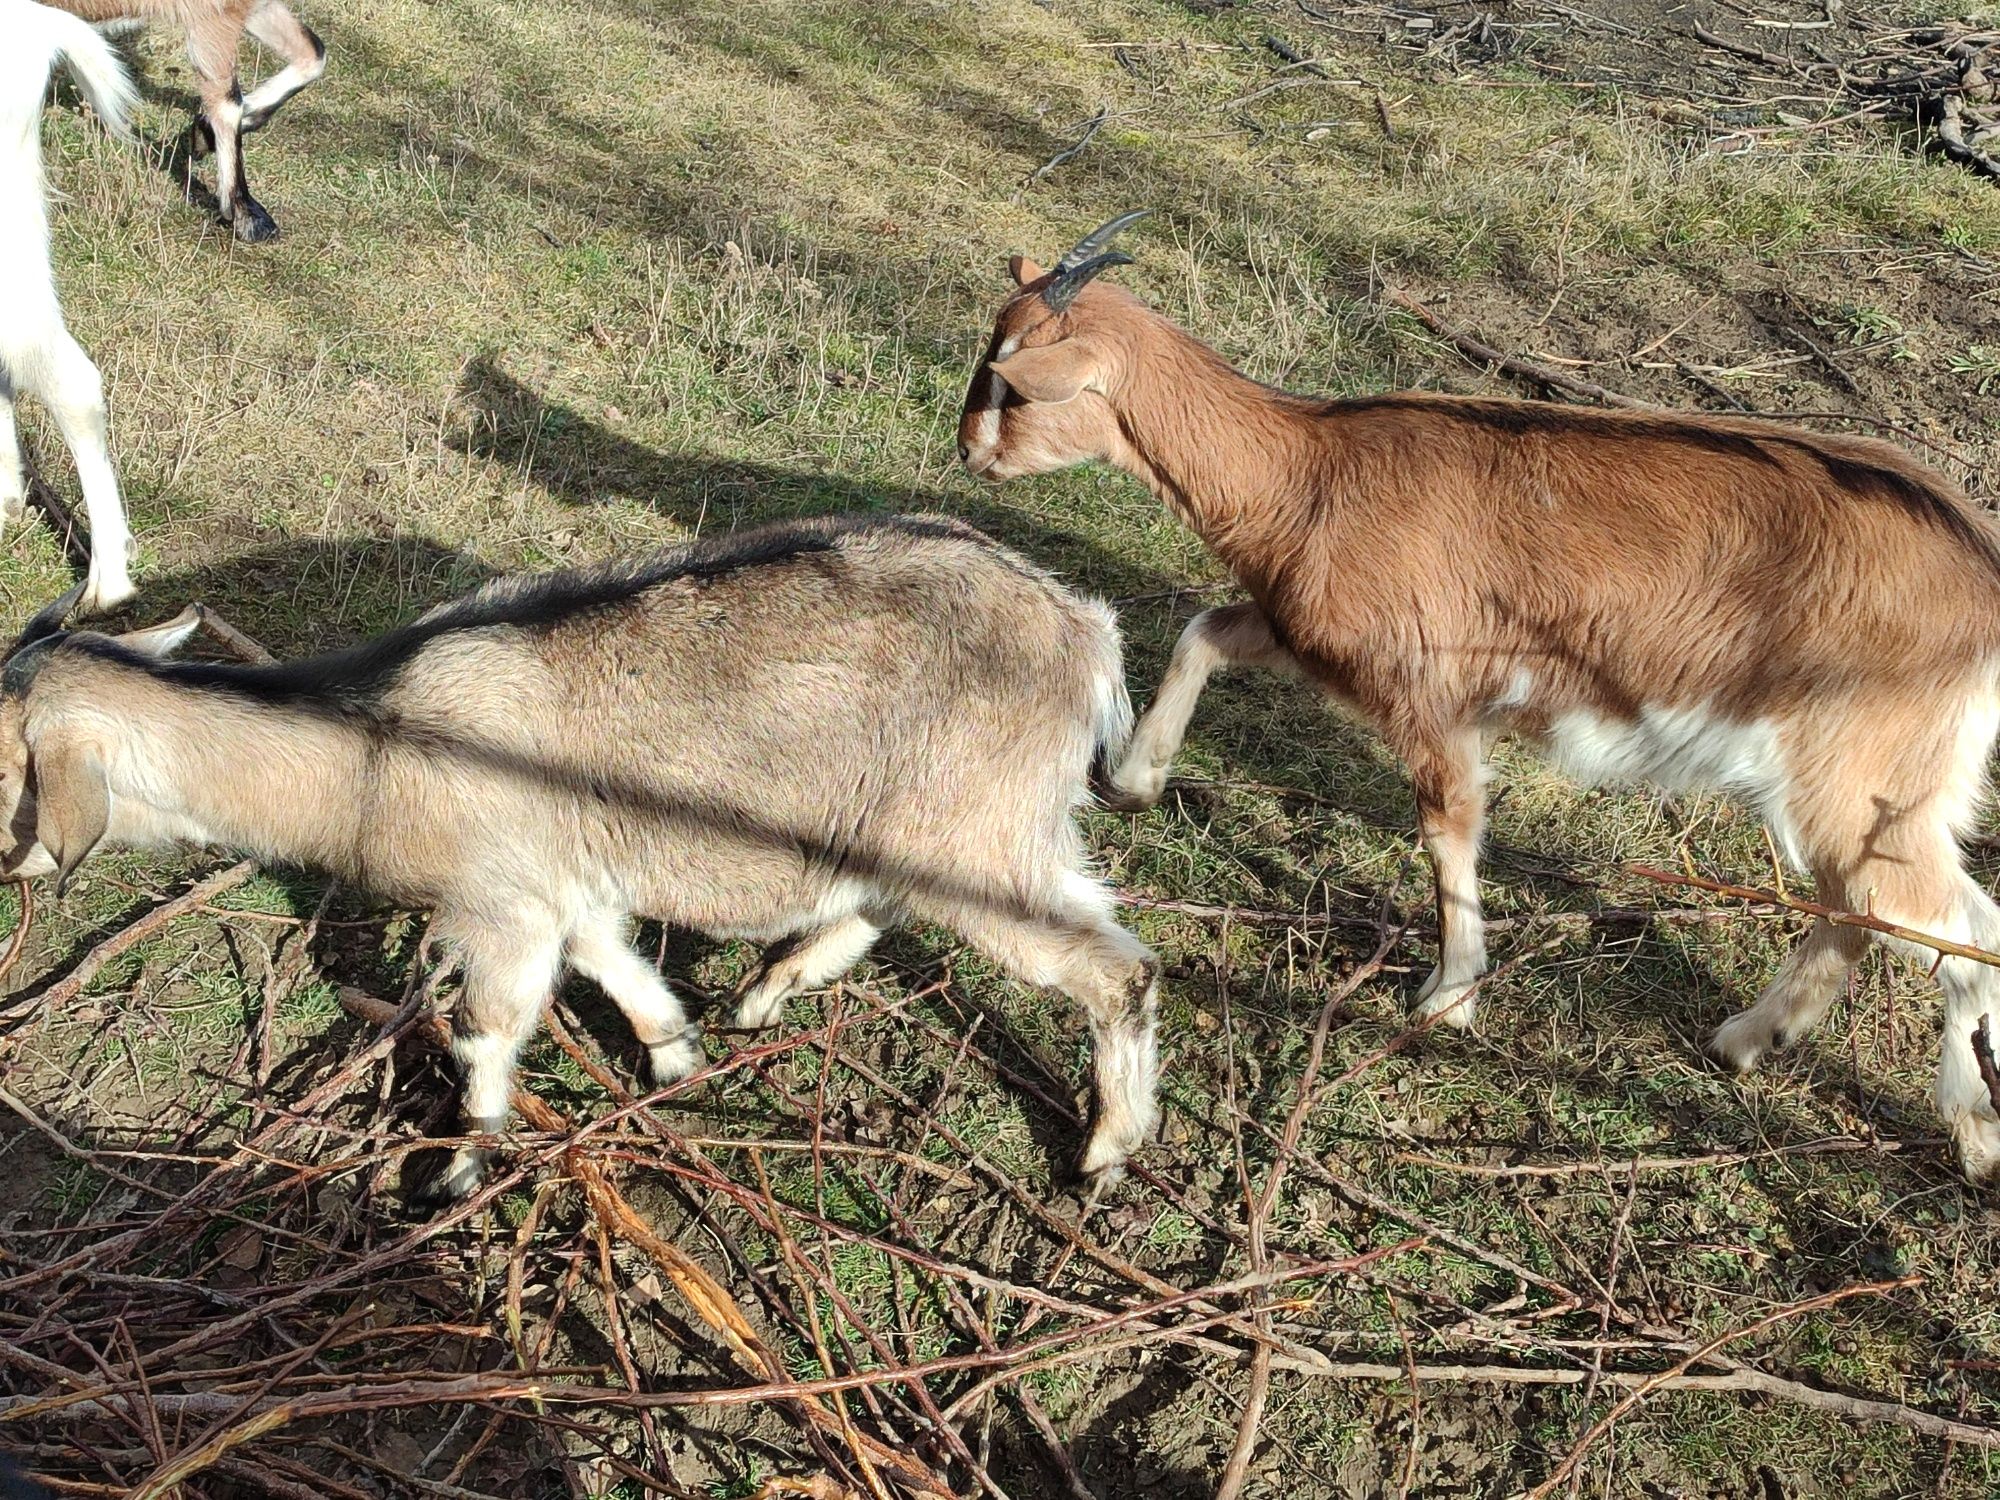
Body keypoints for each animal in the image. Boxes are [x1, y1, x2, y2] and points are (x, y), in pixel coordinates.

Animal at [0, 524, 1168, 1208]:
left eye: (6, 758)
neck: (371, 742)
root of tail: (1089, 636)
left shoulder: (502, 901)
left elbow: (485, 1030)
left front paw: (460, 1168)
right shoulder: (561, 879)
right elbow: (610, 960)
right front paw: (675, 1052)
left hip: (978, 827)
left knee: (1119, 968)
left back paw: (1107, 1153)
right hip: (952, 821)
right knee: (897, 903)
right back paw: (765, 993)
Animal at [956, 214, 2000, 1184]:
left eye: (1012, 382)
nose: (967, 451)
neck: (1307, 471)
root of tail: (1983, 569)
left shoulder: (1432, 697)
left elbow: (1446, 831)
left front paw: (1450, 994)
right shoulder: (1321, 639)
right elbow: (1204, 632)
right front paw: (1135, 781)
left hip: (1857, 779)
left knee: (1957, 925)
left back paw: (1973, 1132)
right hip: (1879, 793)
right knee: (1858, 913)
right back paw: (1748, 1040)